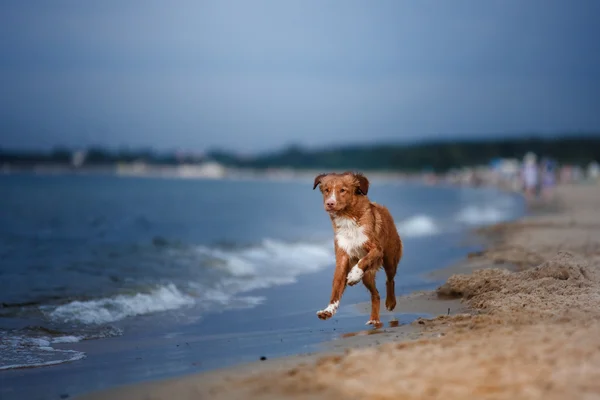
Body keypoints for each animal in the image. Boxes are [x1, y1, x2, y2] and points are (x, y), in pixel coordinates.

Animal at [314, 171, 404, 324]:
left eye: (342, 190)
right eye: (326, 190)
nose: (330, 203)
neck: (347, 217)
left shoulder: (376, 248)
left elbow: (364, 260)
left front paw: (354, 275)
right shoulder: (342, 257)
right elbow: (336, 288)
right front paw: (328, 310)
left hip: (390, 259)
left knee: (390, 280)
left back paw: (390, 302)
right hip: (367, 276)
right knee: (376, 294)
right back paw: (374, 320)